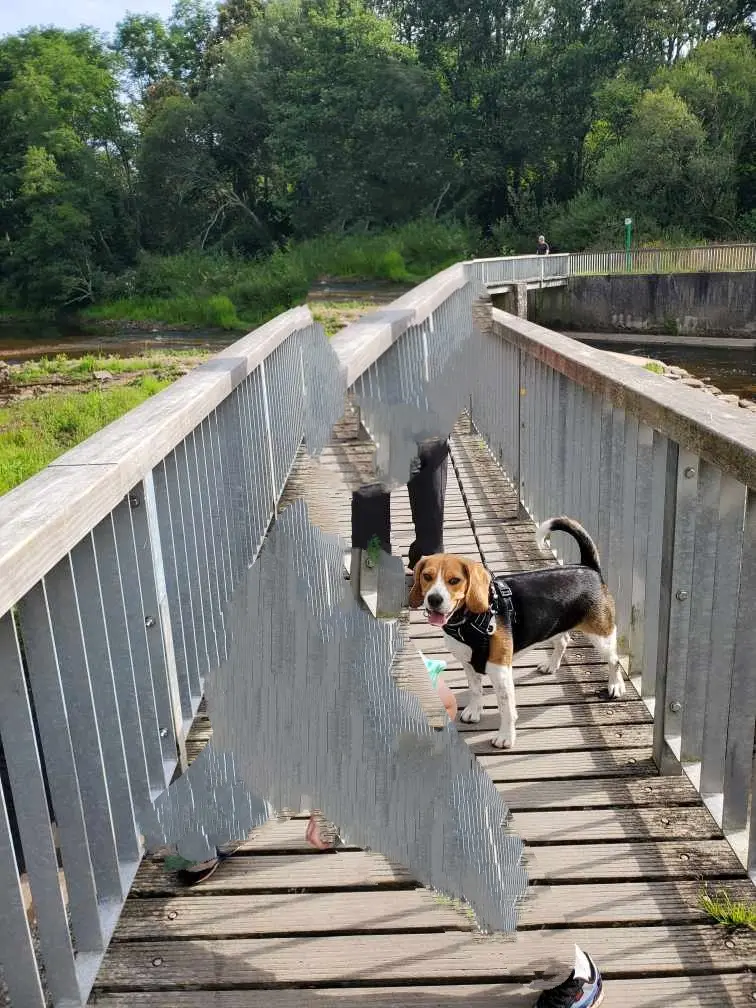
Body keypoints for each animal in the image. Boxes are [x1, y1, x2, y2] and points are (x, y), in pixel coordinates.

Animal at [411, 520, 624, 749]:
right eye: (427, 576)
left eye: (454, 580)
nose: (434, 599)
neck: (468, 620)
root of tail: (587, 567)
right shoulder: (468, 664)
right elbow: (476, 690)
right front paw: (474, 711)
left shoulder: (500, 671)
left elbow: (506, 709)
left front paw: (506, 736)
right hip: (552, 625)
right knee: (563, 640)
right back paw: (551, 665)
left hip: (602, 636)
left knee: (614, 661)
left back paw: (615, 686)